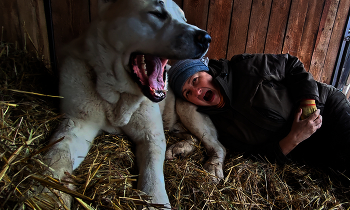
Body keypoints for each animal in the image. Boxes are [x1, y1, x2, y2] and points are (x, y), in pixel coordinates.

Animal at [42, 0, 226, 208]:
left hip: (189, 111)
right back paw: (180, 149)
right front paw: (47, 194)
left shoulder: (151, 136)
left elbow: (153, 178)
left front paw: (156, 202)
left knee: (218, 146)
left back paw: (212, 168)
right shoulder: (77, 124)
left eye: (184, 19)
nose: (206, 38)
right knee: (192, 138)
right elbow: (56, 156)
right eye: (157, 13)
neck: (117, 96)